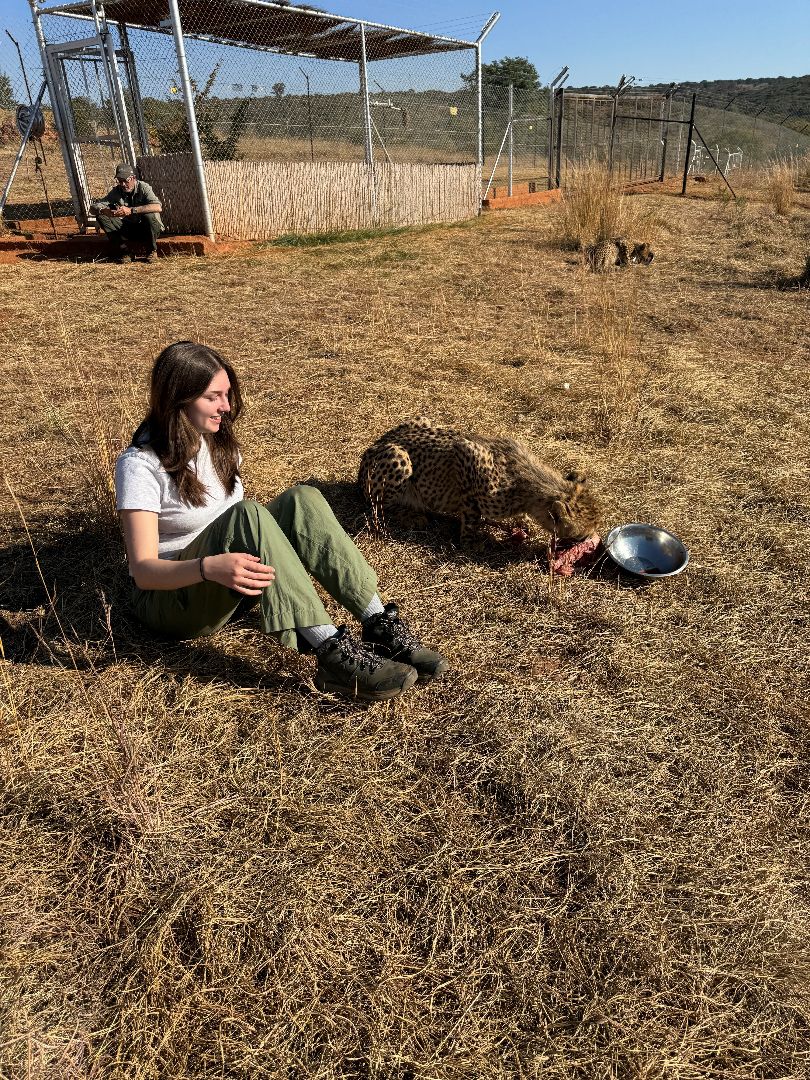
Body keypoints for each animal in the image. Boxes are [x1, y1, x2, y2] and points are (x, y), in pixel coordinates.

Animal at [360, 419, 604, 544]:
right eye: (581, 534)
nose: (590, 541)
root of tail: (374, 445)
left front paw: (520, 523)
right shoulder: (465, 454)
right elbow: (471, 512)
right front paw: (470, 540)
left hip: (423, 420)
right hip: (398, 458)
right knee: (378, 507)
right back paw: (411, 515)